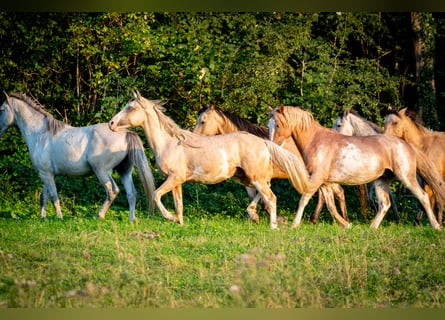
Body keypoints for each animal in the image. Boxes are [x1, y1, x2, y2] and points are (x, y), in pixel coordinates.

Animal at [0, 91, 156, 219]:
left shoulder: (46, 174)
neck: (41, 134)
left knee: (112, 191)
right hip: (124, 171)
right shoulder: (47, 174)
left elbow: (54, 196)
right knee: (131, 193)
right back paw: (131, 219)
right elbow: (44, 197)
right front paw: (42, 218)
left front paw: (59, 218)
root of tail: (126, 133)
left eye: (1, 109)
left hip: (102, 171)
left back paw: (99, 215)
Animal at [108, 91, 312, 229]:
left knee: (271, 198)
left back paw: (273, 226)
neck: (169, 143)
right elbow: (179, 205)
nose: (111, 123)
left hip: (257, 179)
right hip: (251, 178)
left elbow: (156, 195)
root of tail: (264, 142)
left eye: (131, 107)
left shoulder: (174, 178)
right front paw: (179, 222)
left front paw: (169, 217)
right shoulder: (177, 181)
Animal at [193, 104, 348, 224]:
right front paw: (255, 217)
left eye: (203, 122)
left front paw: (272, 218)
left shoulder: (264, 177)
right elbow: (255, 197)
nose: (194, 137)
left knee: (337, 191)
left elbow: (264, 199)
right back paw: (317, 219)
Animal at [268, 106, 444, 229]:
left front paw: (294, 224)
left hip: (406, 177)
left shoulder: (316, 178)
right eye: (268, 125)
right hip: (381, 181)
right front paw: (346, 224)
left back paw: (435, 225)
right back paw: (372, 227)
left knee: (423, 197)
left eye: (278, 125)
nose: (272, 144)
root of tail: (407, 144)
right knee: (385, 204)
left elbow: (304, 199)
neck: (317, 141)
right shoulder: (325, 183)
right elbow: (331, 206)